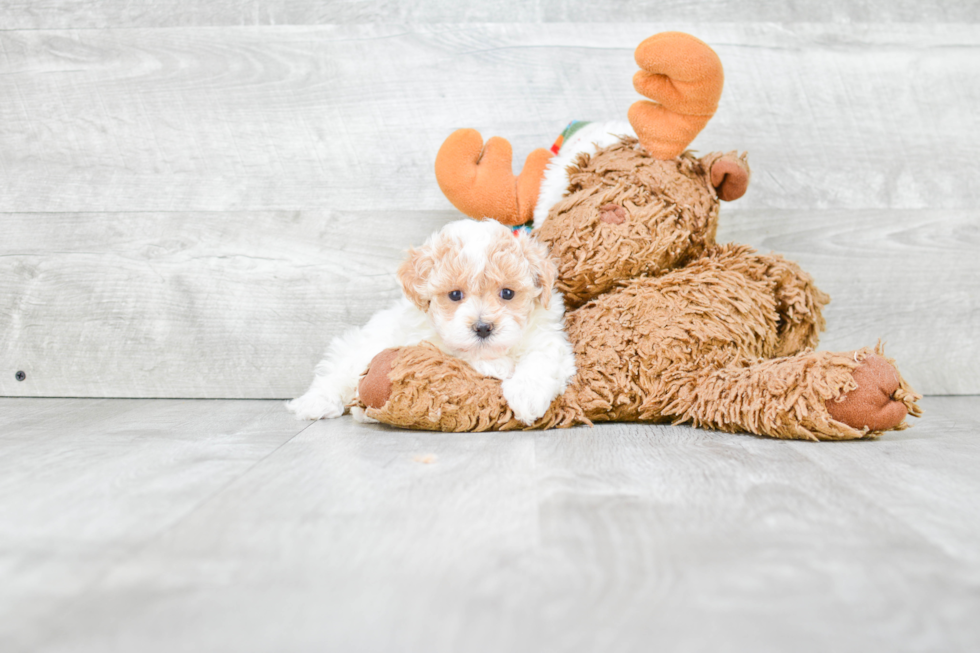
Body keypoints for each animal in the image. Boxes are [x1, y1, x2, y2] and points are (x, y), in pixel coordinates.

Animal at [284, 216, 576, 426]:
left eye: (507, 293)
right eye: (455, 295)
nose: (482, 328)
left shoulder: (548, 337)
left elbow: (542, 359)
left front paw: (527, 395)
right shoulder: (425, 340)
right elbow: (458, 354)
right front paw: (498, 366)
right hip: (360, 350)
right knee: (335, 375)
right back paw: (315, 403)